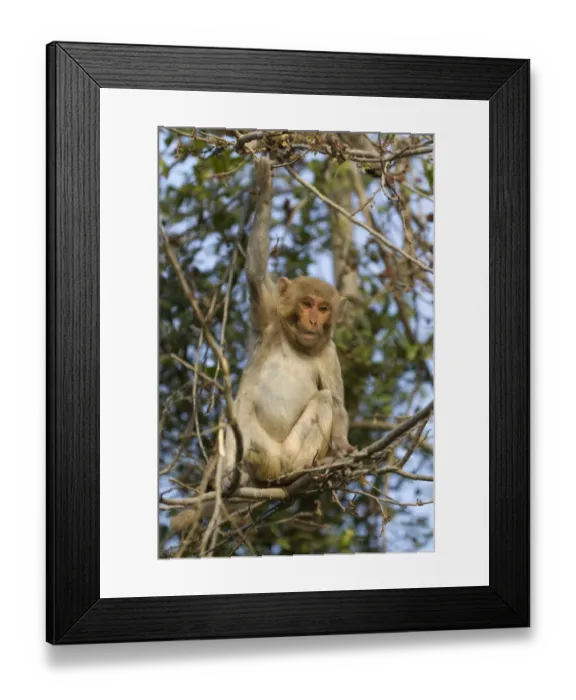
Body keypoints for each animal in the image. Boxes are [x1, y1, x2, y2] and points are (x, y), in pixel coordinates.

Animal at [170, 156, 354, 534]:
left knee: (322, 401)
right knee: (238, 410)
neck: (298, 344)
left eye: (323, 308)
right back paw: (231, 477)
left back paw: (304, 470)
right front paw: (265, 190)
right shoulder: (268, 317)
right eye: (307, 304)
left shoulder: (328, 353)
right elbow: (255, 274)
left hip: (290, 452)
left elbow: (337, 402)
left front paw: (341, 450)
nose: (314, 321)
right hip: (259, 453)